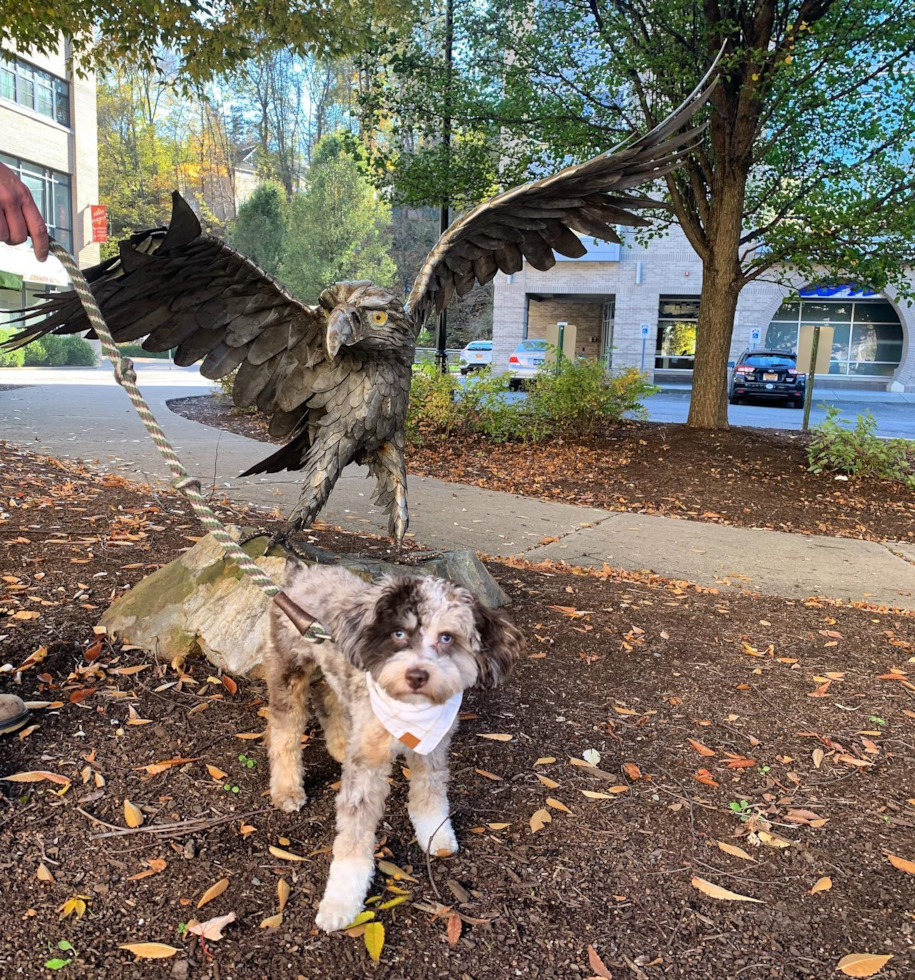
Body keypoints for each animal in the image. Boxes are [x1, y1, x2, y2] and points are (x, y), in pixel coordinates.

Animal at [264, 564, 524, 932]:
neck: (411, 707)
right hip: (289, 668)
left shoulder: (433, 749)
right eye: (398, 634)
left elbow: (429, 796)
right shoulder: (367, 769)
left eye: (447, 638)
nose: (417, 675)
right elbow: (354, 838)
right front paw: (341, 901)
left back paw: (340, 745)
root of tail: (301, 572)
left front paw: (436, 836)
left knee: (328, 696)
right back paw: (287, 788)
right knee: (284, 729)